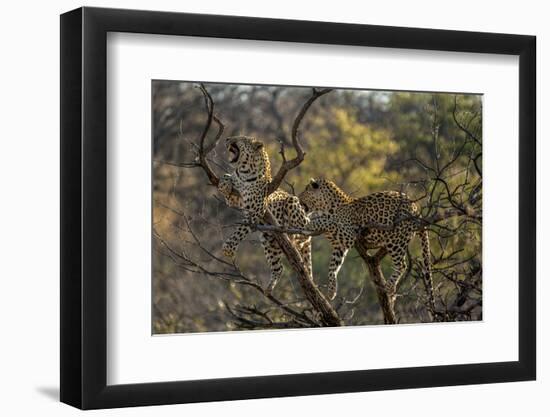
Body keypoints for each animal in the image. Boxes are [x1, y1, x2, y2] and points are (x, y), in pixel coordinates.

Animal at [220, 135, 314, 294]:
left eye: (239, 138)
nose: (227, 138)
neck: (244, 172)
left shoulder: (256, 209)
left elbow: (239, 231)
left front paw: (228, 249)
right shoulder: (236, 199)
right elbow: (227, 178)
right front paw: (224, 184)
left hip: (294, 206)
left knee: (302, 232)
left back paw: (293, 233)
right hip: (269, 242)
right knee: (279, 267)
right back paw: (269, 288)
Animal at [300, 177, 438, 310]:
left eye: (305, 190)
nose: (299, 197)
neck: (324, 207)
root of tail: (415, 207)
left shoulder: (348, 233)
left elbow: (329, 222)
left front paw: (310, 223)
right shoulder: (340, 246)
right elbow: (332, 267)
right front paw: (331, 291)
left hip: (397, 240)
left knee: (402, 264)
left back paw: (389, 286)